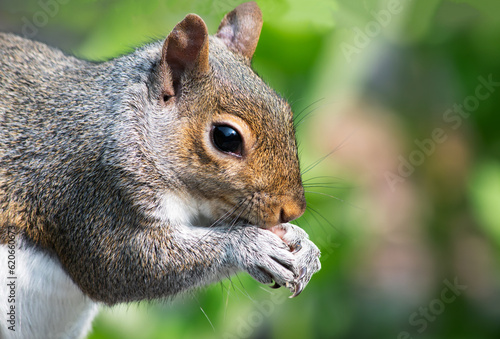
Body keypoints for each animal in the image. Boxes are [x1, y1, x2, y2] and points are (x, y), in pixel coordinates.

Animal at [0, 2, 320, 339]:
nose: (292, 210)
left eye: (285, 110)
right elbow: (120, 267)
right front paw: (251, 246)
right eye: (226, 137)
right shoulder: (92, 193)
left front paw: (302, 242)